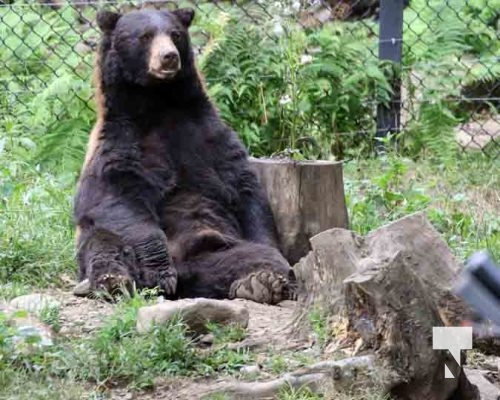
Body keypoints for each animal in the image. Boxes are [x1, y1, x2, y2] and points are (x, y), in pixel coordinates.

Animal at [73, 7, 292, 304]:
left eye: (175, 34)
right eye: (145, 36)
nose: (169, 56)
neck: (159, 105)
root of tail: (188, 277)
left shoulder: (207, 137)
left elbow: (244, 188)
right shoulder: (119, 145)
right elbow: (116, 198)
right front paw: (159, 271)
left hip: (218, 246)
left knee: (249, 257)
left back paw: (260, 281)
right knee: (102, 241)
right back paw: (113, 281)